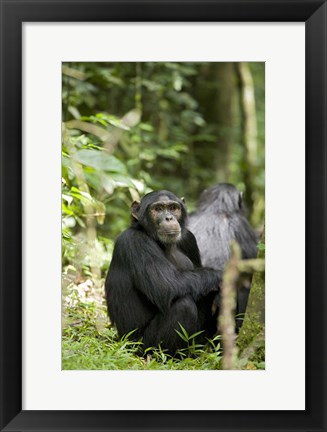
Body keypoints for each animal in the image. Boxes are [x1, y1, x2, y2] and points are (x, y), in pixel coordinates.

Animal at [106, 191, 222, 356]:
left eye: (173, 208)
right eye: (158, 209)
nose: (169, 218)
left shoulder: (189, 239)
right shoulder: (135, 242)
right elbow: (166, 285)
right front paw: (225, 276)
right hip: (141, 347)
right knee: (183, 306)